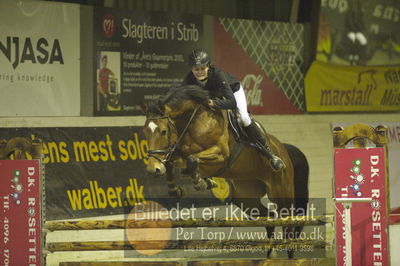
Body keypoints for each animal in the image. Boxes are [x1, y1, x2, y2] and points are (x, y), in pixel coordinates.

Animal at [141, 85, 310, 258]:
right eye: (145, 132)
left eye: (163, 131)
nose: (152, 169)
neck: (193, 121)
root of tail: (282, 148)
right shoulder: (178, 153)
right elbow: (175, 162)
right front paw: (177, 188)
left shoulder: (220, 155)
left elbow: (193, 159)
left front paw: (200, 182)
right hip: (246, 197)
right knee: (268, 217)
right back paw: (271, 254)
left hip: (281, 189)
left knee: (287, 222)